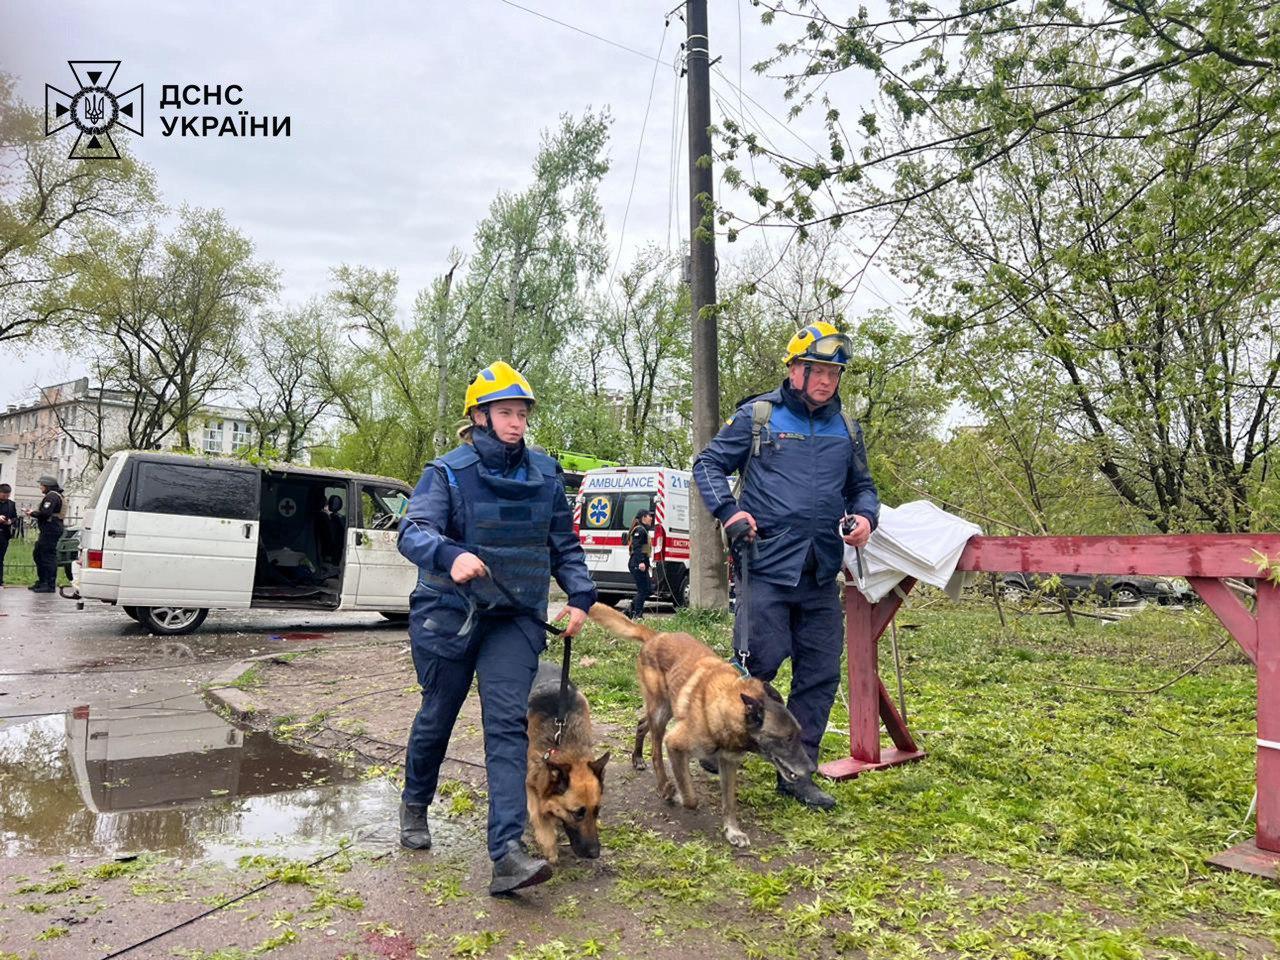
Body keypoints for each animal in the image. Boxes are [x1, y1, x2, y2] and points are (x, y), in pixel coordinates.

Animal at [527, 660, 611, 865]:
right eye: (577, 813)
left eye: (597, 810)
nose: (595, 853)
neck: (566, 748)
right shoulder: (530, 782)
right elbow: (538, 814)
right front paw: (549, 844)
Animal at [586, 604, 814, 844]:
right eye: (786, 739)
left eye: (799, 735)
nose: (812, 769)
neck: (726, 705)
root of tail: (657, 636)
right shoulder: (675, 744)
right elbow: (690, 797)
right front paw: (676, 795)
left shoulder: (728, 762)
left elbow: (729, 802)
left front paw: (732, 831)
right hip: (660, 714)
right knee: (656, 754)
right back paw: (663, 784)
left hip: (666, 709)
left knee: (641, 724)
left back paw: (637, 757)